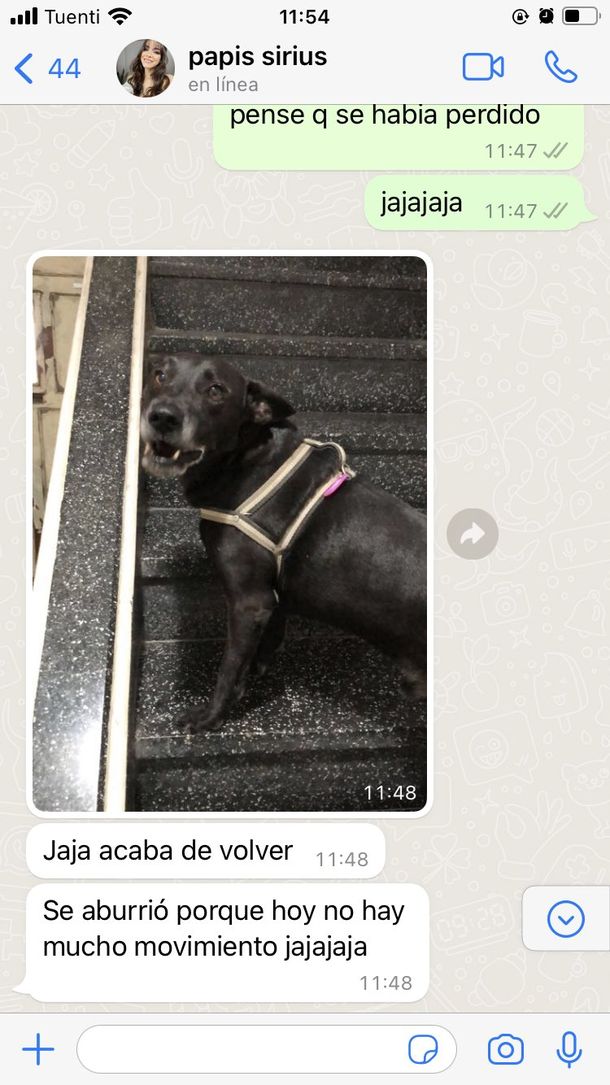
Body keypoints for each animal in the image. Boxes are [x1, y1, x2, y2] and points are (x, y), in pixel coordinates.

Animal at [141, 352, 427, 732]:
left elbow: (227, 668)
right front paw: (252, 676)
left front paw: (210, 716)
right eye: (159, 375)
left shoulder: (249, 602)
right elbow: (266, 641)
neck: (246, 459)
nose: (162, 416)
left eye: (216, 390)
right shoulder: (274, 595)